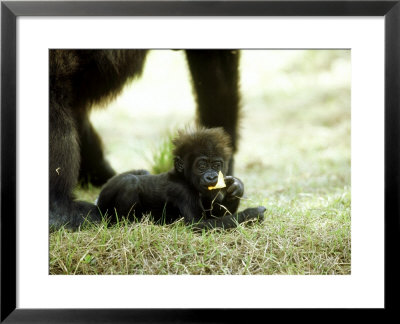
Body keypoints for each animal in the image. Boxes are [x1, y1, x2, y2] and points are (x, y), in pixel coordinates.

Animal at [96, 126, 266, 230]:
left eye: (217, 165)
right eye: (202, 166)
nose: (212, 177)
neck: (183, 177)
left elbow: (216, 214)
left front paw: (236, 186)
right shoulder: (181, 191)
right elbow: (197, 225)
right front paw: (252, 215)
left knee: (141, 173)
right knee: (130, 183)